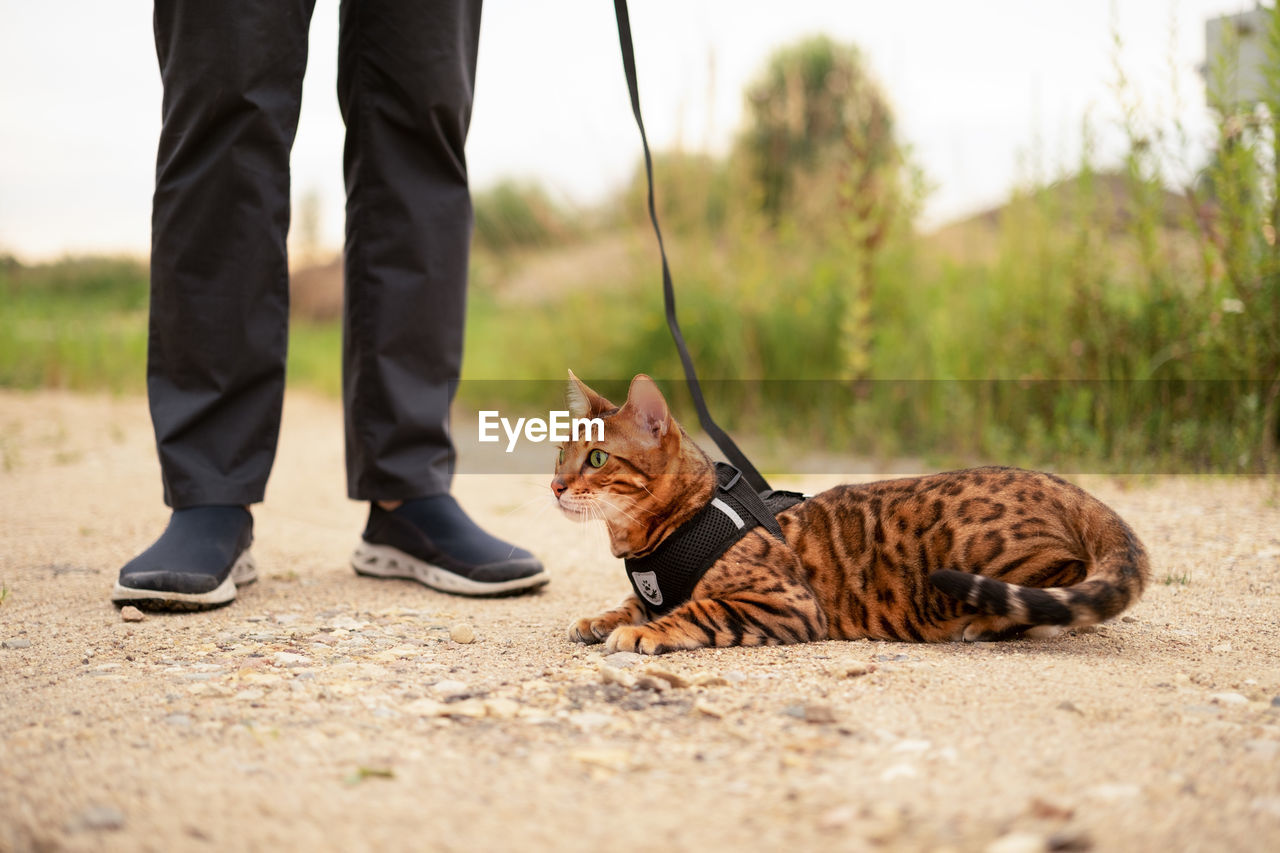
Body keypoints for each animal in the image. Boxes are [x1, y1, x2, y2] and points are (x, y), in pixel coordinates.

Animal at [550, 368, 1152, 653]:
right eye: (559, 452)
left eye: (597, 458)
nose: (554, 486)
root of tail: (1060, 483)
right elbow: (633, 602)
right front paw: (604, 617)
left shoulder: (786, 602)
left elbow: (695, 610)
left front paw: (641, 632)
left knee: (1061, 591)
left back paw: (989, 619)